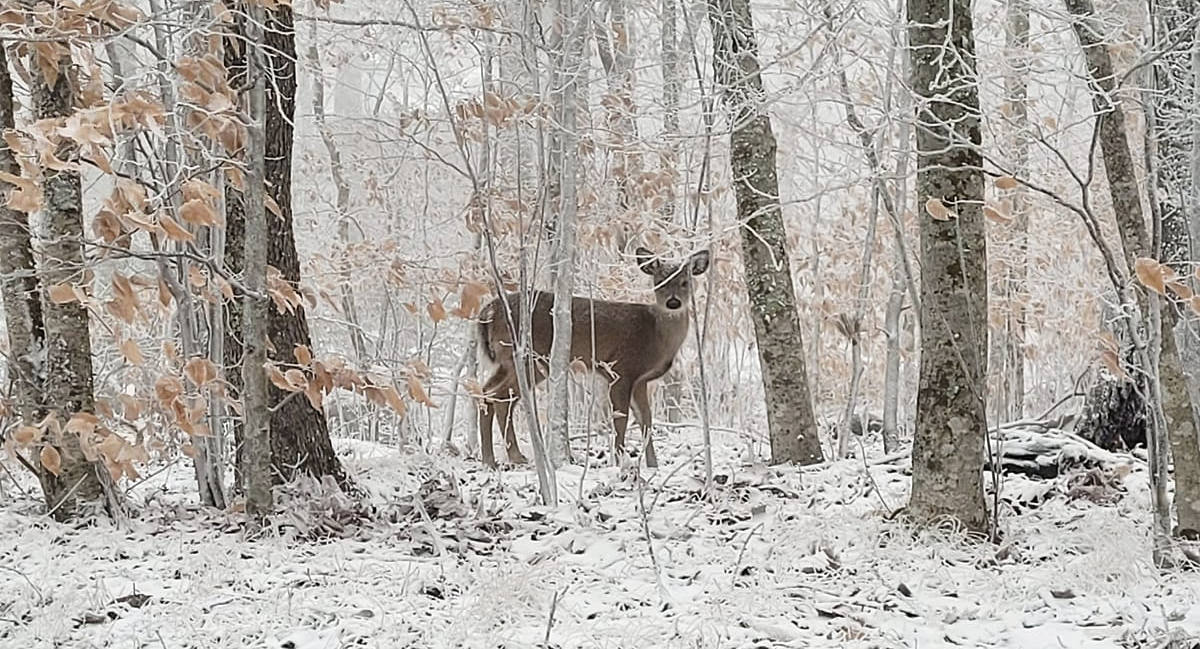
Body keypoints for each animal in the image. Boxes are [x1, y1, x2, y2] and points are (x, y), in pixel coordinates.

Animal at [472, 247, 705, 465]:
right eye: (659, 282)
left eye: (685, 282)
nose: (673, 302)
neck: (655, 336)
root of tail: (488, 312)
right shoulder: (621, 369)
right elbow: (621, 419)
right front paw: (620, 461)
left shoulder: (640, 380)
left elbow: (645, 420)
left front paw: (652, 464)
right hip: (529, 358)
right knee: (500, 396)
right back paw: (512, 456)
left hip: (508, 362)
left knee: (487, 392)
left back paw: (491, 459)